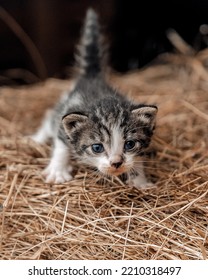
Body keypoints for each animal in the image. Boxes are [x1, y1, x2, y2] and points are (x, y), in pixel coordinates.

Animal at [30, 8, 158, 188]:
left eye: (130, 144)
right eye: (97, 147)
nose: (116, 163)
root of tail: (91, 76)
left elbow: (137, 159)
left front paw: (140, 181)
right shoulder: (66, 115)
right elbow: (61, 144)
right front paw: (58, 171)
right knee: (50, 117)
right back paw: (37, 139)